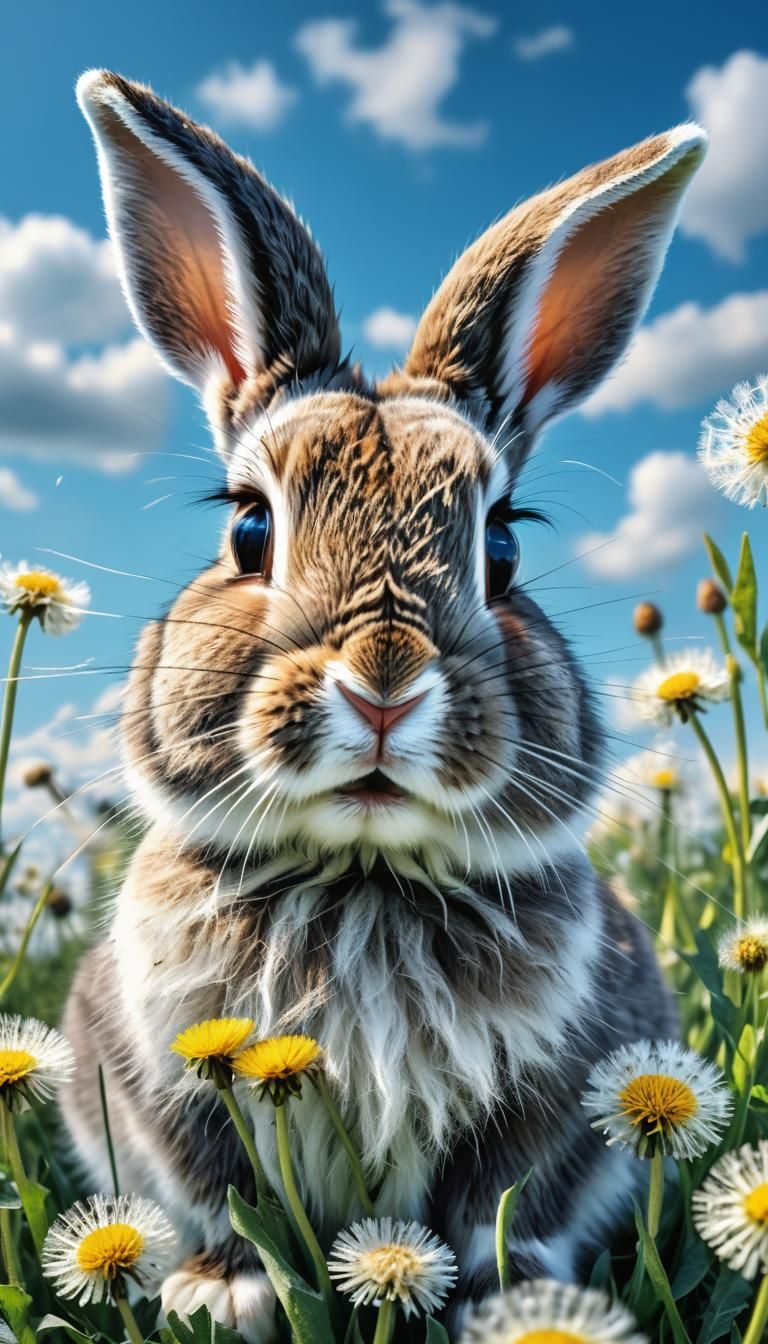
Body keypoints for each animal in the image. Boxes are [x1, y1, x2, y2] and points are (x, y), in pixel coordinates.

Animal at [60, 68, 707, 1342]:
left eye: (502, 547)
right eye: (248, 529)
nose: (383, 683)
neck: (360, 874)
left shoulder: (543, 1095)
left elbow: (498, 1202)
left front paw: (510, 1299)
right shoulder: (165, 1076)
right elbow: (216, 1182)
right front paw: (226, 1292)